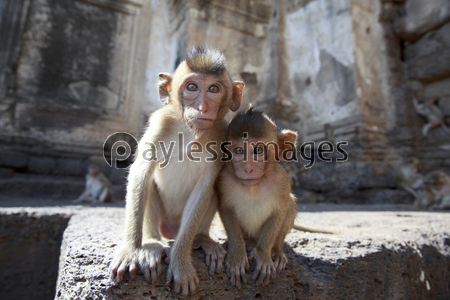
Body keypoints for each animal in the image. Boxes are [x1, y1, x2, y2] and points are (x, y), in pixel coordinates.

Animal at [109, 47, 244, 296]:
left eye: (214, 89)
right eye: (192, 87)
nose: (202, 108)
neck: (190, 131)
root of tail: (170, 229)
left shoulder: (221, 135)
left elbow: (204, 188)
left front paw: (180, 262)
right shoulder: (159, 123)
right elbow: (140, 175)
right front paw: (130, 250)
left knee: (213, 192)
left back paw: (202, 239)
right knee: (150, 185)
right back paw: (151, 244)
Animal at [218, 108, 334, 288]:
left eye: (258, 150)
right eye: (238, 151)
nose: (248, 169)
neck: (253, 186)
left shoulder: (282, 180)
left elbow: (280, 211)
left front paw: (263, 254)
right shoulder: (223, 180)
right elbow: (226, 209)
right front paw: (237, 254)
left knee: (291, 205)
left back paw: (276, 251)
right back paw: (245, 243)